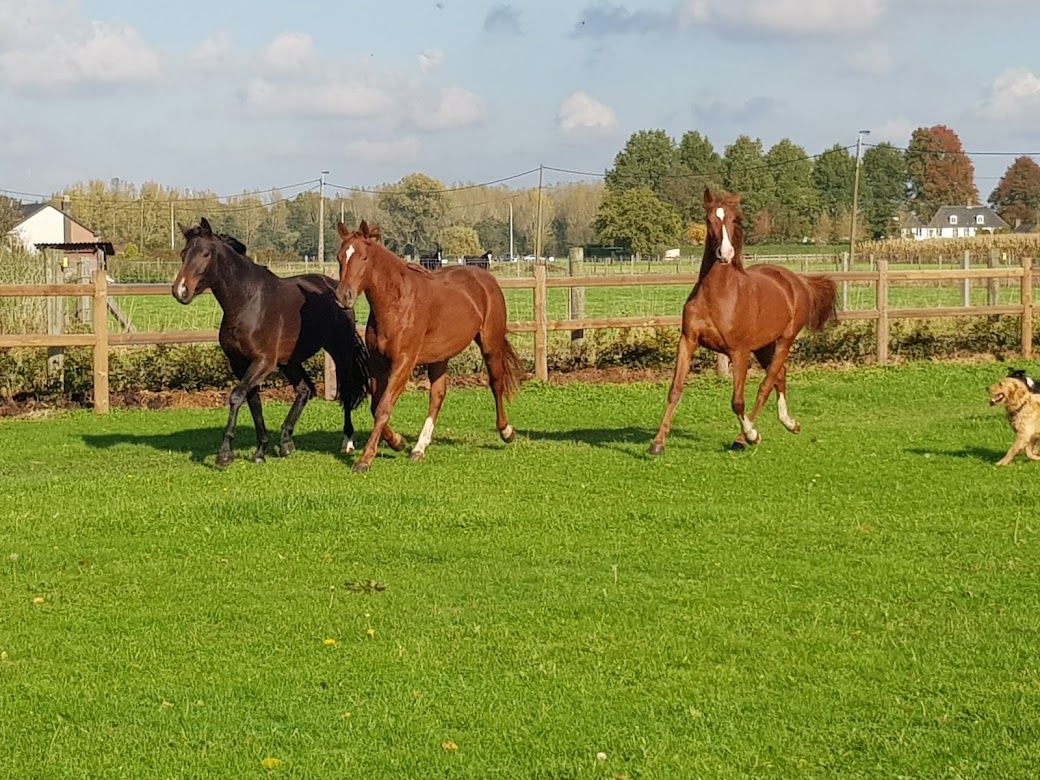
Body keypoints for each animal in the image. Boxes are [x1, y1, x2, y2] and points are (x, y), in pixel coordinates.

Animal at [175, 217, 374, 467]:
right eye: (183, 254)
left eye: (205, 254)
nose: (180, 290)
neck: (248, 302)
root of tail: (335, 288)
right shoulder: (241, 365)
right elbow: (253, 403)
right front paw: (260, 451)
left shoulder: (263, 362)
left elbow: (236, 396)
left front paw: (225, 454)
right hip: (290, 361)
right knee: (305, 390)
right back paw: (286, 442)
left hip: (340, 351)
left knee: (346, 389)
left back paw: (347, 440)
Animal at [336, 221, 524, 476]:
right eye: (339, 257)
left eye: (364, 257)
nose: (343, 297)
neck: (396, 303)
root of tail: (485, 276)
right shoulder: (377, 363)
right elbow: (376, 406)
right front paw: (397, 442)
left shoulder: (404, 362)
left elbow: (384, 406)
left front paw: (365, 460)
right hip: (439, 358)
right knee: (437, 395)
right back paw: (419, 447)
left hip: (490, 345)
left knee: (496, 383)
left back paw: (506, 431)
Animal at [648, 189, 836, 455]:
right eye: (709, 220)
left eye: (735, 219)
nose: (725, 254)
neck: (718, 295)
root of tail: (797, 280)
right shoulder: (688, 341)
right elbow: (675, 390)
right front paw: (657, 443)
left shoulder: (739, 352)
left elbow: (737, 401)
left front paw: (751, 435)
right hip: (764, 345)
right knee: (780, 376)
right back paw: (790, 423)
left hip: (784, 340)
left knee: (766, 385)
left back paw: (744, 437)